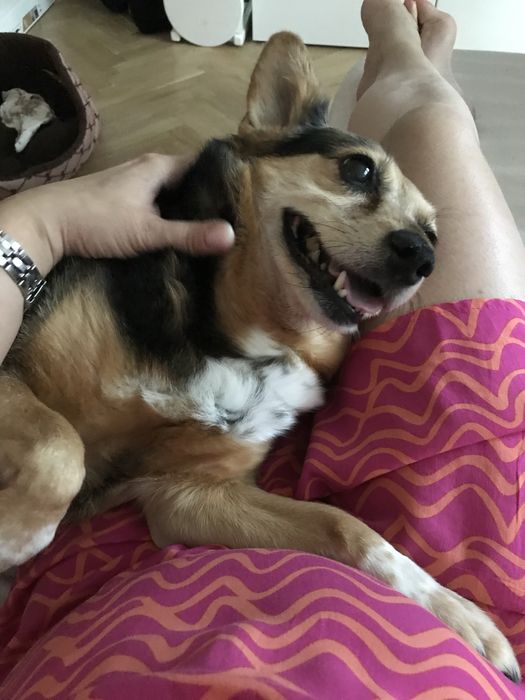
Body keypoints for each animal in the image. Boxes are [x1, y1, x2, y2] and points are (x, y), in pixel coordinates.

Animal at [0, 32, 519, 681]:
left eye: (435, 234)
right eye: (357, 167)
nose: (422, 257)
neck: (246, 338)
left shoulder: (187, 495)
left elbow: (345, 527)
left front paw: (461, 618)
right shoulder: (18, 378)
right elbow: (60, 446)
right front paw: (15, 537)